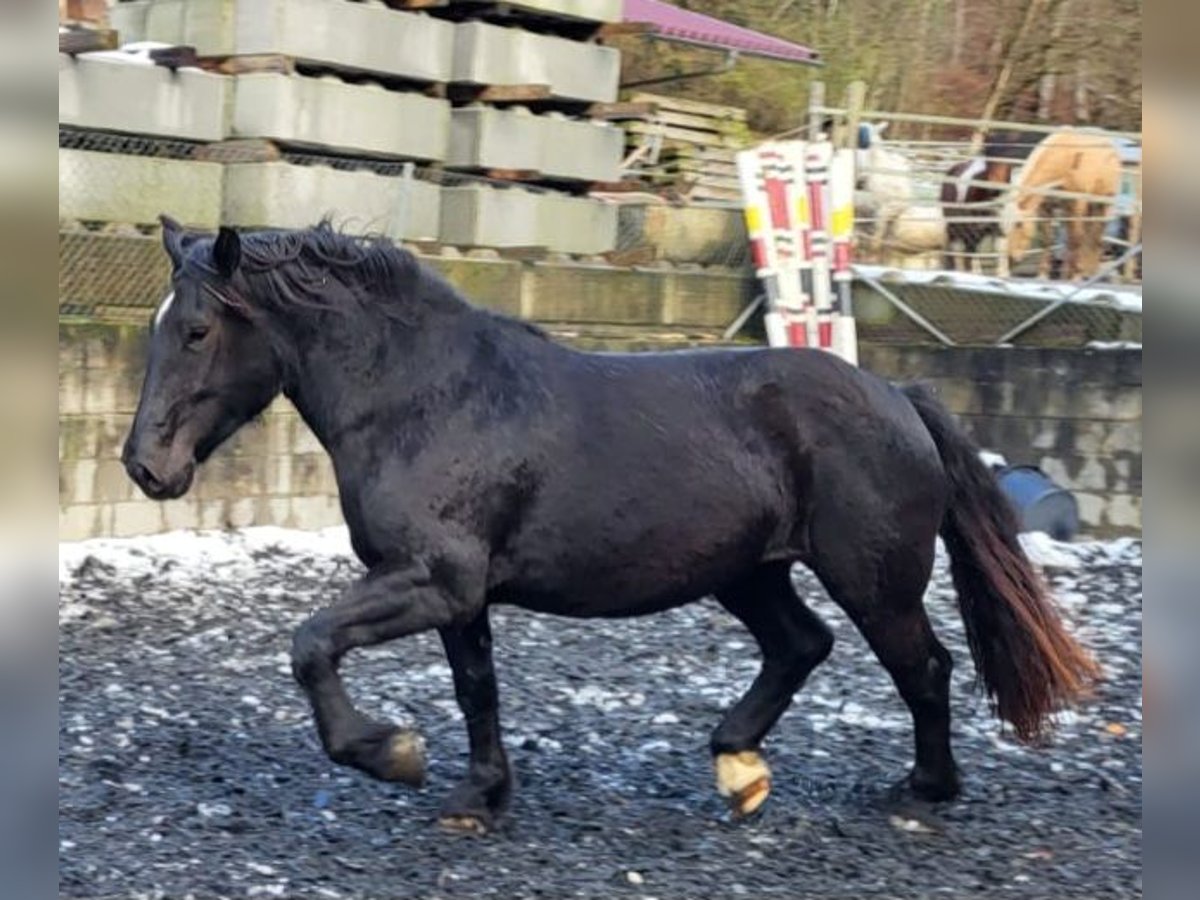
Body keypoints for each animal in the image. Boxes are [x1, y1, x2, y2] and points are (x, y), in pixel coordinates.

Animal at [121, 220, 1099, 840]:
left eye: (198, 329)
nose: (144, 466)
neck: (424, 400)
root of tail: (898, 394)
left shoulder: (431, 578)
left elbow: (312, 644)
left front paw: (390, 753)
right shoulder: (460, 595)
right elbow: (478, 690)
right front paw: (480, 795)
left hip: (871, 579)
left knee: (922, 668)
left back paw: (921, 792)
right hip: (748, 572)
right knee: (802, 645)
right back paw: (738, 768)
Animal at [998, 129, 1118, 278]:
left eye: (1018, 224)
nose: (1010, 258)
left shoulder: (1077, 205)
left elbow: (1076, 239)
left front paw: (1075, 276)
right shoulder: (1046, 208)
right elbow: (1047, 240)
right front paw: (1043, 274)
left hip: (1103, 203)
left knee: (1095, 234)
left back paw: (1087, 270)